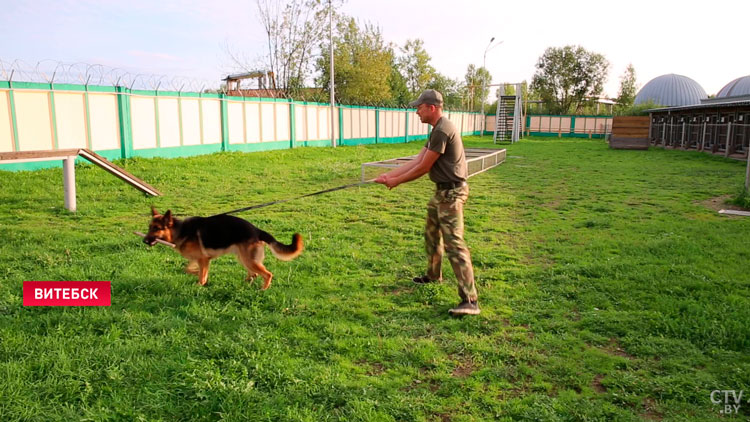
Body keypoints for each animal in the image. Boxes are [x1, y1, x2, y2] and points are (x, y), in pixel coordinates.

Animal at [144, 209, 302, 288]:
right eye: (149, 227)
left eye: (156, 228)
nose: (144, 240)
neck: (180, 230)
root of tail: (257, 230)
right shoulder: (199, 259)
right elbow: (189, 269)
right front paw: (195, 273)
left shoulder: (203, 259)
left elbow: (201, 275)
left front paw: (199, 285)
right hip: (243, 258)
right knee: (255, 274)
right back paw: (247, 282)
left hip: (249, 260)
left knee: (267, 274)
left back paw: (262, 289)